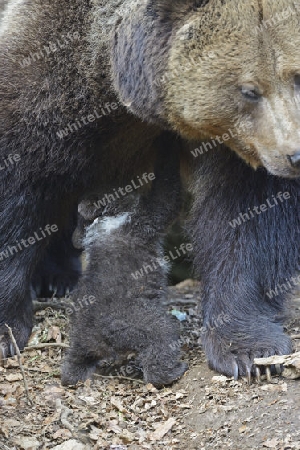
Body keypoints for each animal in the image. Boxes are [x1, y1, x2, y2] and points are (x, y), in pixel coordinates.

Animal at [0, 0, 298, 384]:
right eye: (249, 89)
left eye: (297, 76)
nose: (295, 155)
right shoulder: (51, 67)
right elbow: (18, 175)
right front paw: (7, 328)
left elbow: (248, 219)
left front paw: (250, 350)